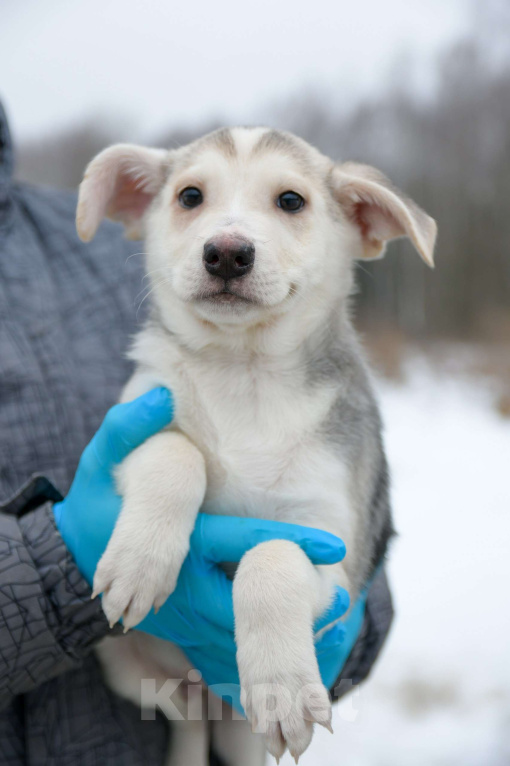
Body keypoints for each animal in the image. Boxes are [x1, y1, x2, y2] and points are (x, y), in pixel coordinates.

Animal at [77, 127, 436, 766]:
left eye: (291, 201)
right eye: (190, 196)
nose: (226, 252)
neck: (242, 374)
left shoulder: (335, 555)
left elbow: (273, 553)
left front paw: (282, 687)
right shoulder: (129, 426)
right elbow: (175, 451)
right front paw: (140, 561)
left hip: (241, 730)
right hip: (128, 668)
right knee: (183, 721)